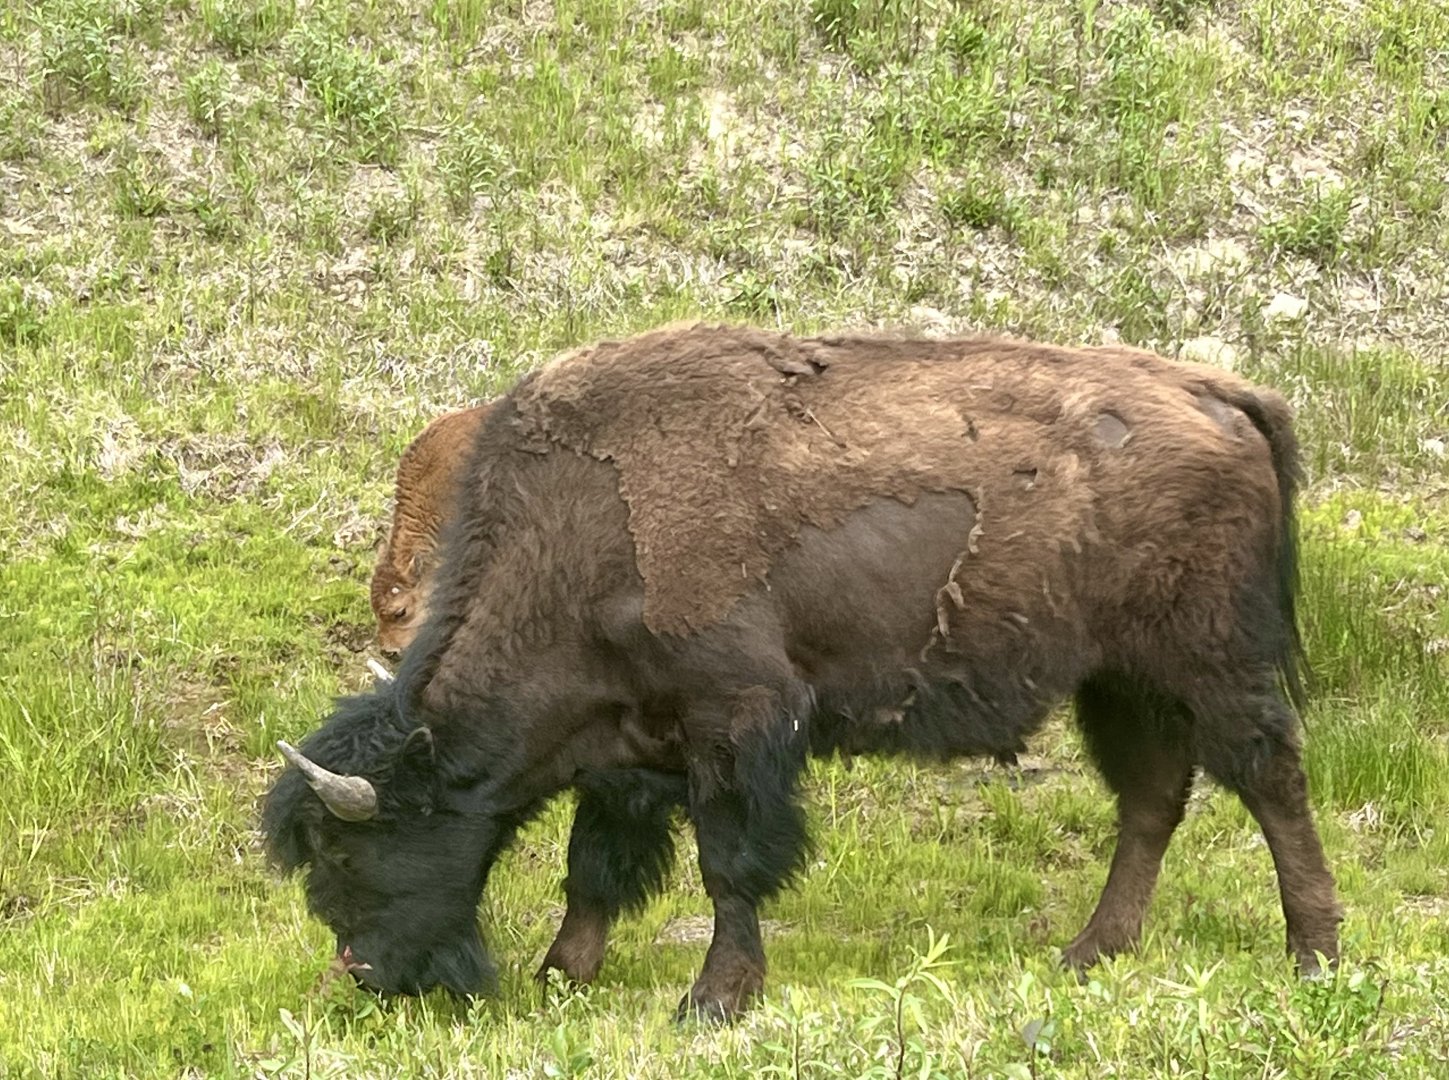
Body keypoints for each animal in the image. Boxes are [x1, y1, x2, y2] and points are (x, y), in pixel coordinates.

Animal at [263, 323, 1342, 1022]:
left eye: (348, 855)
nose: (364, 975)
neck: (585, 530)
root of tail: (1221, 394)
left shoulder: (738, 723)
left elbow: (729, 865)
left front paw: (713, 999)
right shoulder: (628, 746)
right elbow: (594, 866)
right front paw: (561, 974)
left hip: (1207, 663)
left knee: (1269, 777)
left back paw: (1313, 955)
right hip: (1119, 682)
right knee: (1152, 800)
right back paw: (1087, 953)